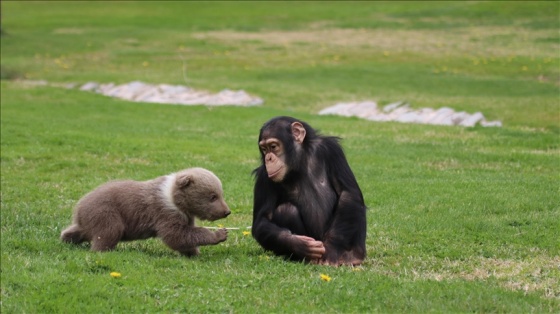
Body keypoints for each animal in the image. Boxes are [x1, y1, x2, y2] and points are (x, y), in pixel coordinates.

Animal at [253, 115, 368, 264]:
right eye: (264, 149)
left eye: (273, 146)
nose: (269, 158)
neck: (300, 162)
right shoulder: (263, 177)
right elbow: (262, 220)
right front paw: (299, 244)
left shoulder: (332, 150)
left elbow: (347, 193)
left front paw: (332, 249)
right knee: (286, 209)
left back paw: (352, 257)